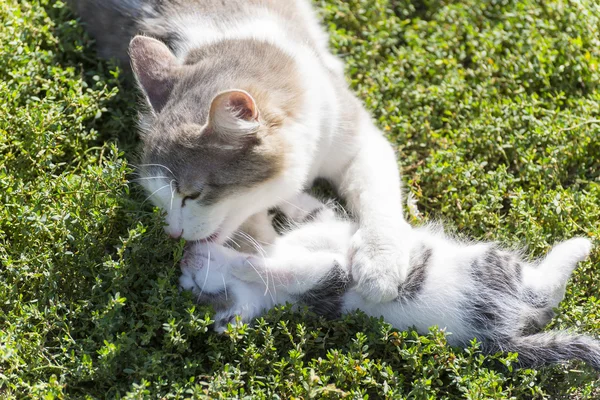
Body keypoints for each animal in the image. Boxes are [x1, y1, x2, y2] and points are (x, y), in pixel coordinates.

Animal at [68, 0, 410, 300]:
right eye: (158, 197)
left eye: (192, 195)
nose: (173, 235)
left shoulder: (355, 133)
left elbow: (377, 194)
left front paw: (380, 263)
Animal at [179, 192, 600, 370]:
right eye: (196, 287)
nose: (185, 258)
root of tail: (505, 341)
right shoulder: (330, 283)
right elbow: (293, 270)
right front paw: (248, 264)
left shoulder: (324, 226)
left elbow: (304, 206)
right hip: (494, 268)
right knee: (545, 291)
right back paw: (577, 246)